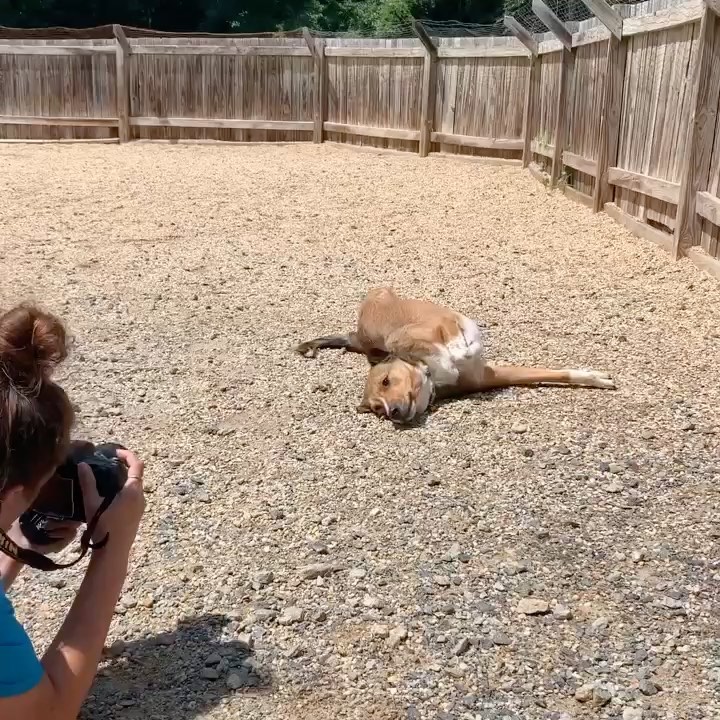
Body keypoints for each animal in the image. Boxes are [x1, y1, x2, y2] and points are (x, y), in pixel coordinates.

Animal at [296, 286, 616, 422]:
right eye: (378, 412)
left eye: (386, 381)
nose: (394, 414)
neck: (429, 373)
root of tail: (360, 337)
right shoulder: (489, 377)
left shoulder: (440, 328)